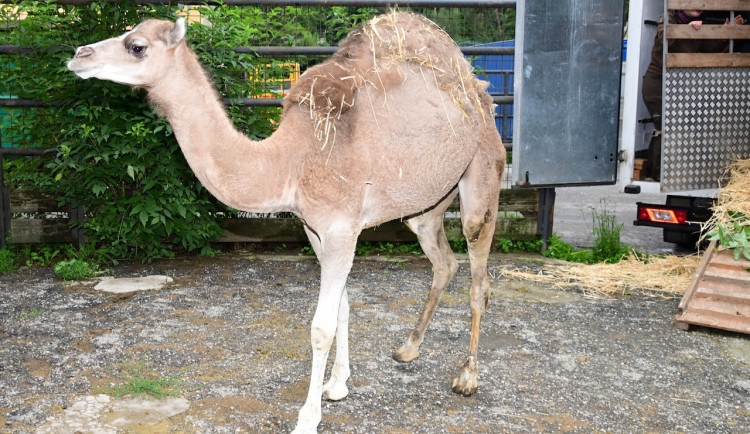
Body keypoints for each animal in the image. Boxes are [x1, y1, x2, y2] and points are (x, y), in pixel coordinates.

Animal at [69, 11, 506, 432]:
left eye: (137, 45)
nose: (79, 55)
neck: (290, 161)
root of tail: (476, 88)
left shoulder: (341, 229)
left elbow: (320, 327)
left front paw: (308, 418)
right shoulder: (314, 229)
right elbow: (343, 306)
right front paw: (338, 384)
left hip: (483, 166)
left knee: (478, 273)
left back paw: (467, 377)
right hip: (426, 202)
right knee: (443, 261)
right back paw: (409, 348)